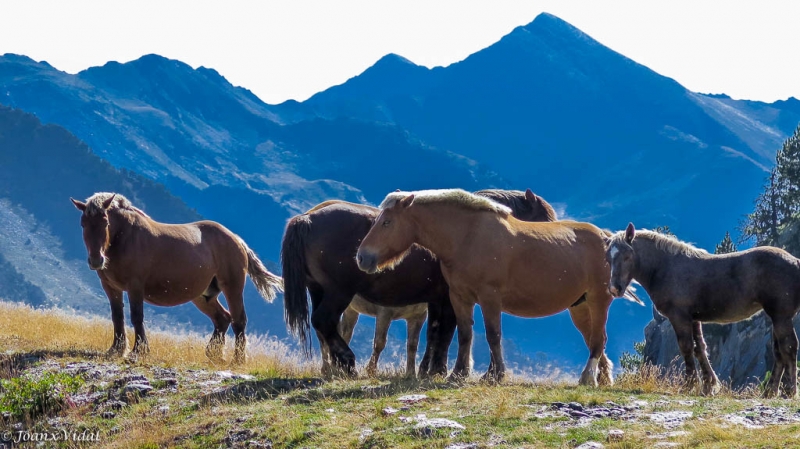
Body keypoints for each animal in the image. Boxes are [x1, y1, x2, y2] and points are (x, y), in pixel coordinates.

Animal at [70, 191, 284, 362]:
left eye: (105, 222)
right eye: (83, 224)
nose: (96, 260)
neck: (124, 238)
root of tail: (237, 239)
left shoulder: (135, 287)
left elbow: (136, 316)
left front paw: (139, 351)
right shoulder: (111, 287)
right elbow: (117, 316)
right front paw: (116, 349)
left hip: (232, 287)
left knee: (239, 320)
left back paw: (237, 359)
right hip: (203, 295)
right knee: (223, 318)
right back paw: (214, 354)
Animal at [284, 187, 560, 376]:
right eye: (545, 222)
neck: (465, 234)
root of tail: (307, 219)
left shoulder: (435, 301)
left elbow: (434, 333)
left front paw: (426, 370)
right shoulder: (449, 299)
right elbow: (446, 332)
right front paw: (439, 369)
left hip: (319, 290)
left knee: (323, 328)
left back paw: (334, 367)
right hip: (338, 292)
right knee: (324, 321)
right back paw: (348, 363)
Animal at [356, 187, 632, 384]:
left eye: (387, 222)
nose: (362, 257)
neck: (467, 236)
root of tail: (607, 239)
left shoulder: (490, 297)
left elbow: (493, 334)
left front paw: (496, 374)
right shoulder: (459, 298)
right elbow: (465, 334)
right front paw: (458, 373)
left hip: (597, 301)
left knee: (598, 339)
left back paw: (587, 378)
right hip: (580, 307)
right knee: (595, 339)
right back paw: (599, 378)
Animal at [608, 223, 800, 396]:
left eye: (627, 256)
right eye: (608, 258)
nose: (615, 289)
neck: (666, 267)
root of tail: (795, 262)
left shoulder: (679, 317)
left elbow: (686, 347)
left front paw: (689, 385)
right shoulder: (694, 319)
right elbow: (699, 348)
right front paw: (709, 385)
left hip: (781, 316)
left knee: (788, 347)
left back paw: (789, 391)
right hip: (775, 317)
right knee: (778, 351)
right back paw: (770, 391)